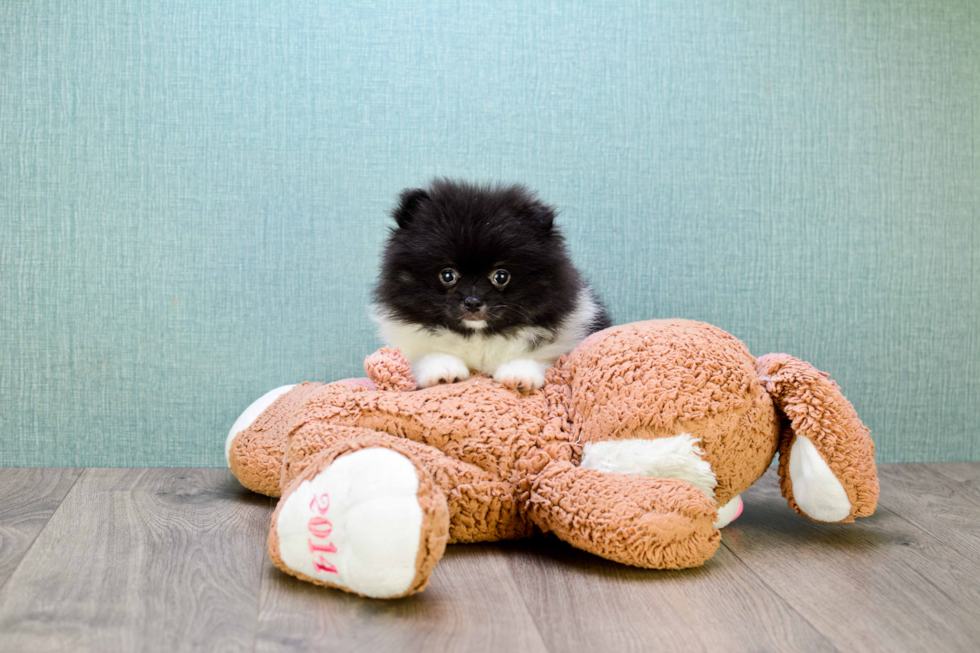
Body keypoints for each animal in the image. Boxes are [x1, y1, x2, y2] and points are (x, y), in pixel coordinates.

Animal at [372, 178, 608, 390]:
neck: (478, 336)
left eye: (501, 276)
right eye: (447, 275)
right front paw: (442, 369)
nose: (473, 302)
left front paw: (518, 373)